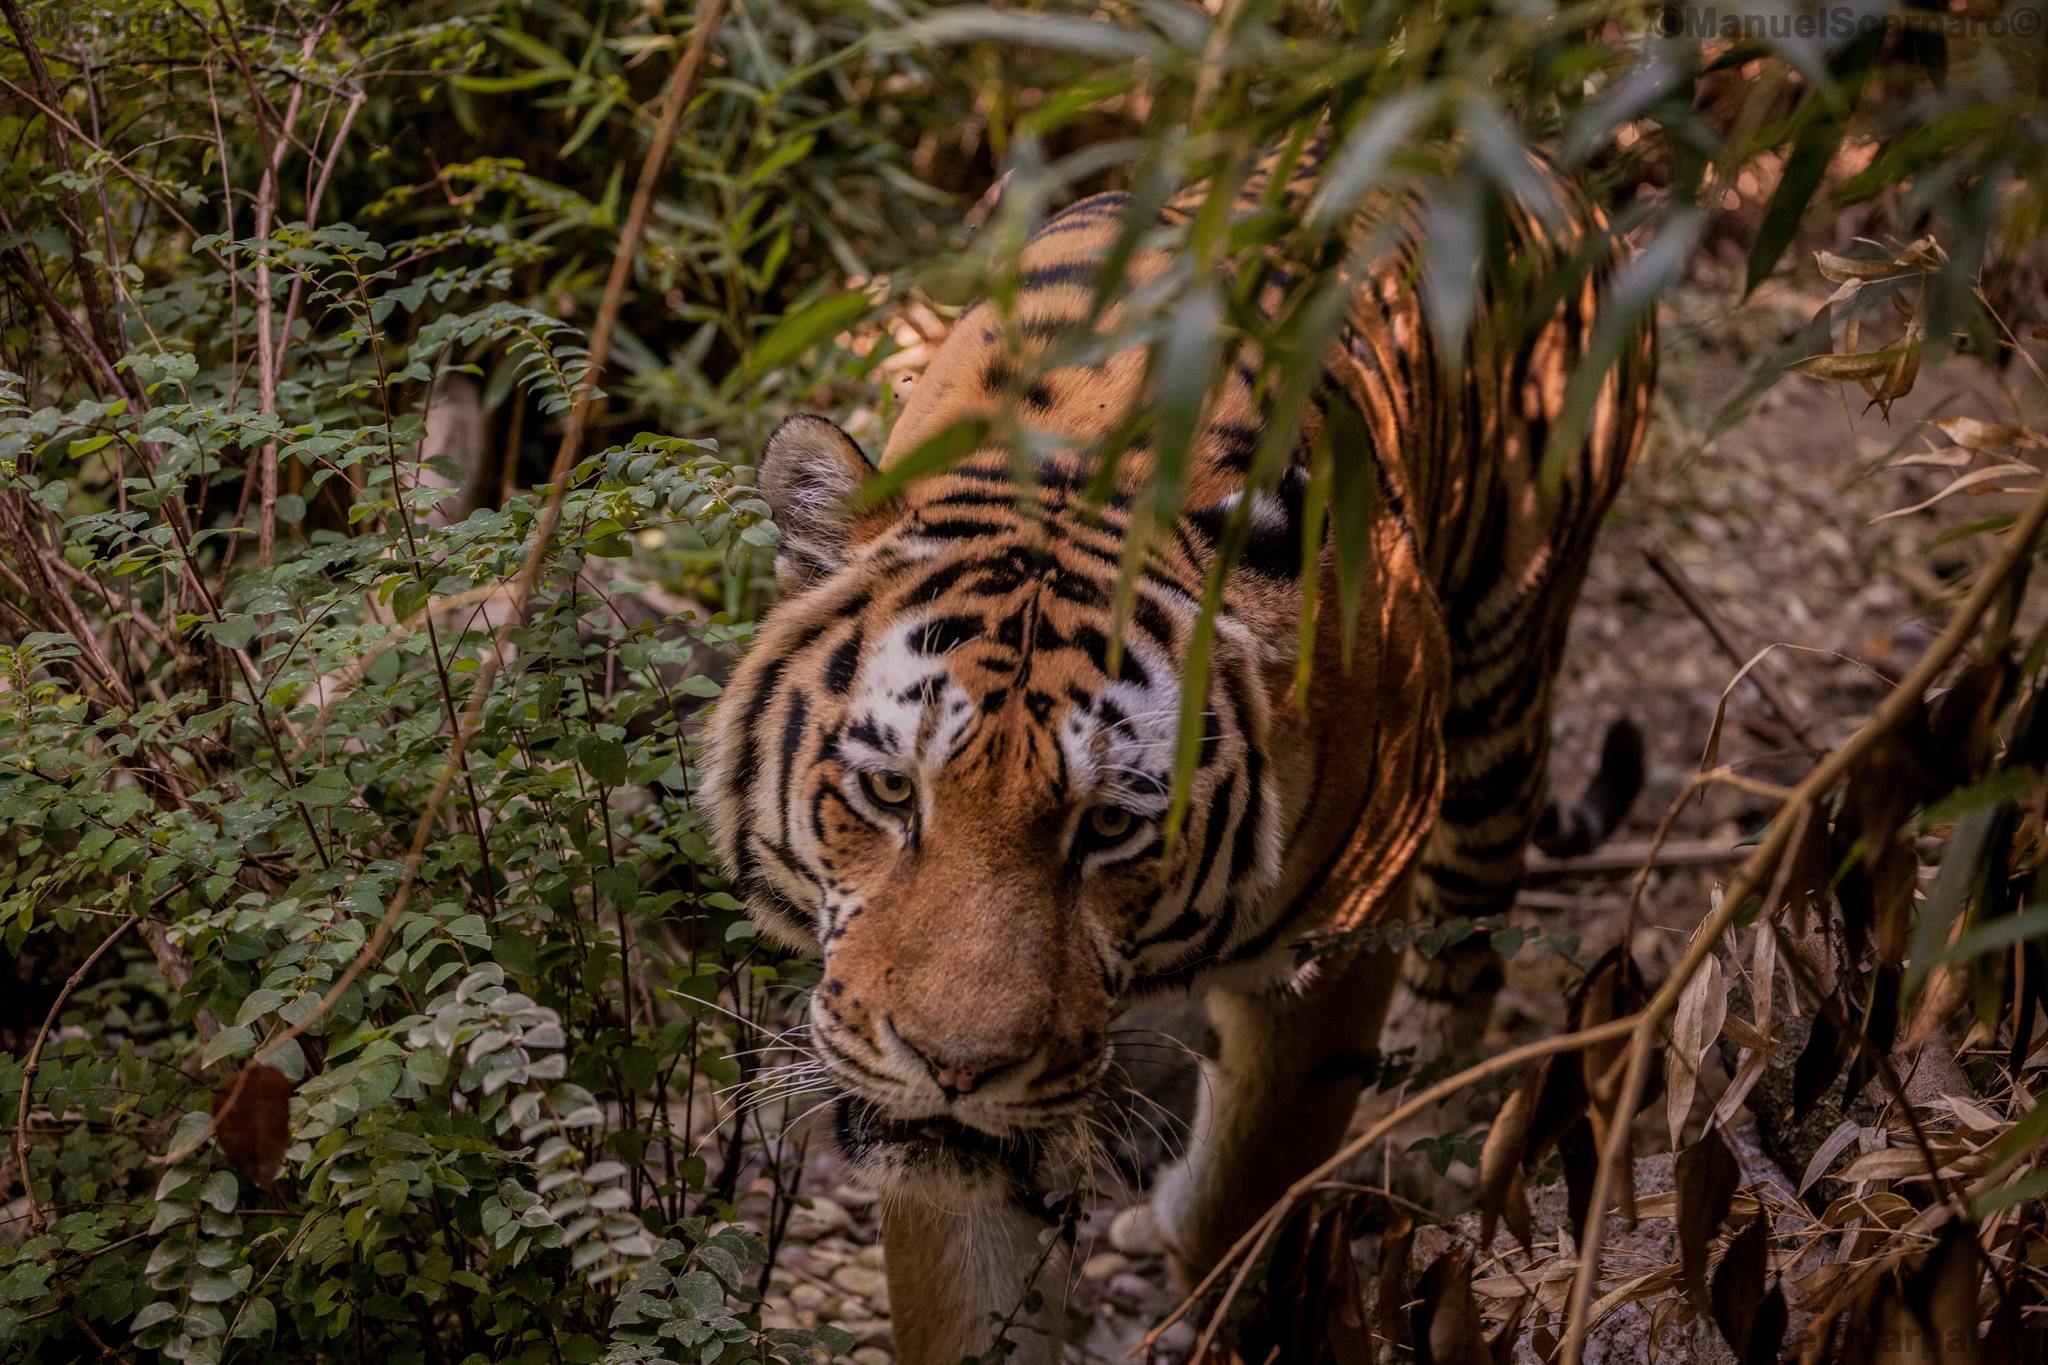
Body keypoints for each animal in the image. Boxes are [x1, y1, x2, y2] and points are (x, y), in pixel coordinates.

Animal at [700, 138, 1656, 1363]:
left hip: (1498, 690)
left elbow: (1241, 1209)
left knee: (1466, 960)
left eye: (1110, 824)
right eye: (887, 792)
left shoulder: (1335, 945)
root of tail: (1552, 170)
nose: (955, 1071)